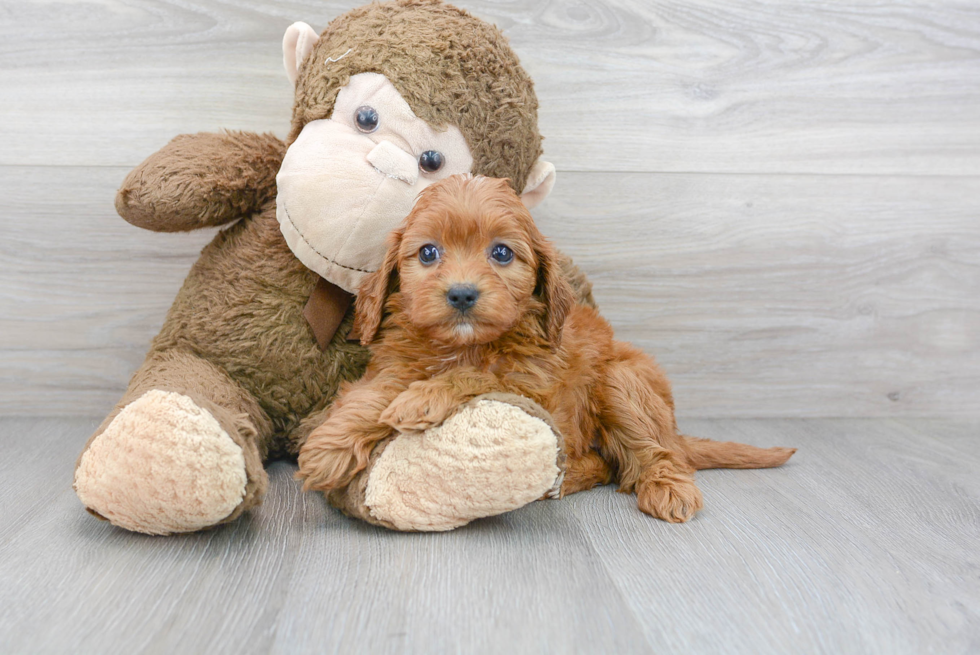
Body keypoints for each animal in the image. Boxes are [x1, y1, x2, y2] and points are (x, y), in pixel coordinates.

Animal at [298, 174, 796, 524]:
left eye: (501, 253)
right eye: (427, 253)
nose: (461, 294)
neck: (466, 344)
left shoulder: (535, 389)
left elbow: (478, 375)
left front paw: (422, 398)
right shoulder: (395, 364)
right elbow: (375, 392)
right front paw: (329, 446)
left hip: (623, 382)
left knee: (652, 453)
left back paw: (666, 488)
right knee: (606, 463)